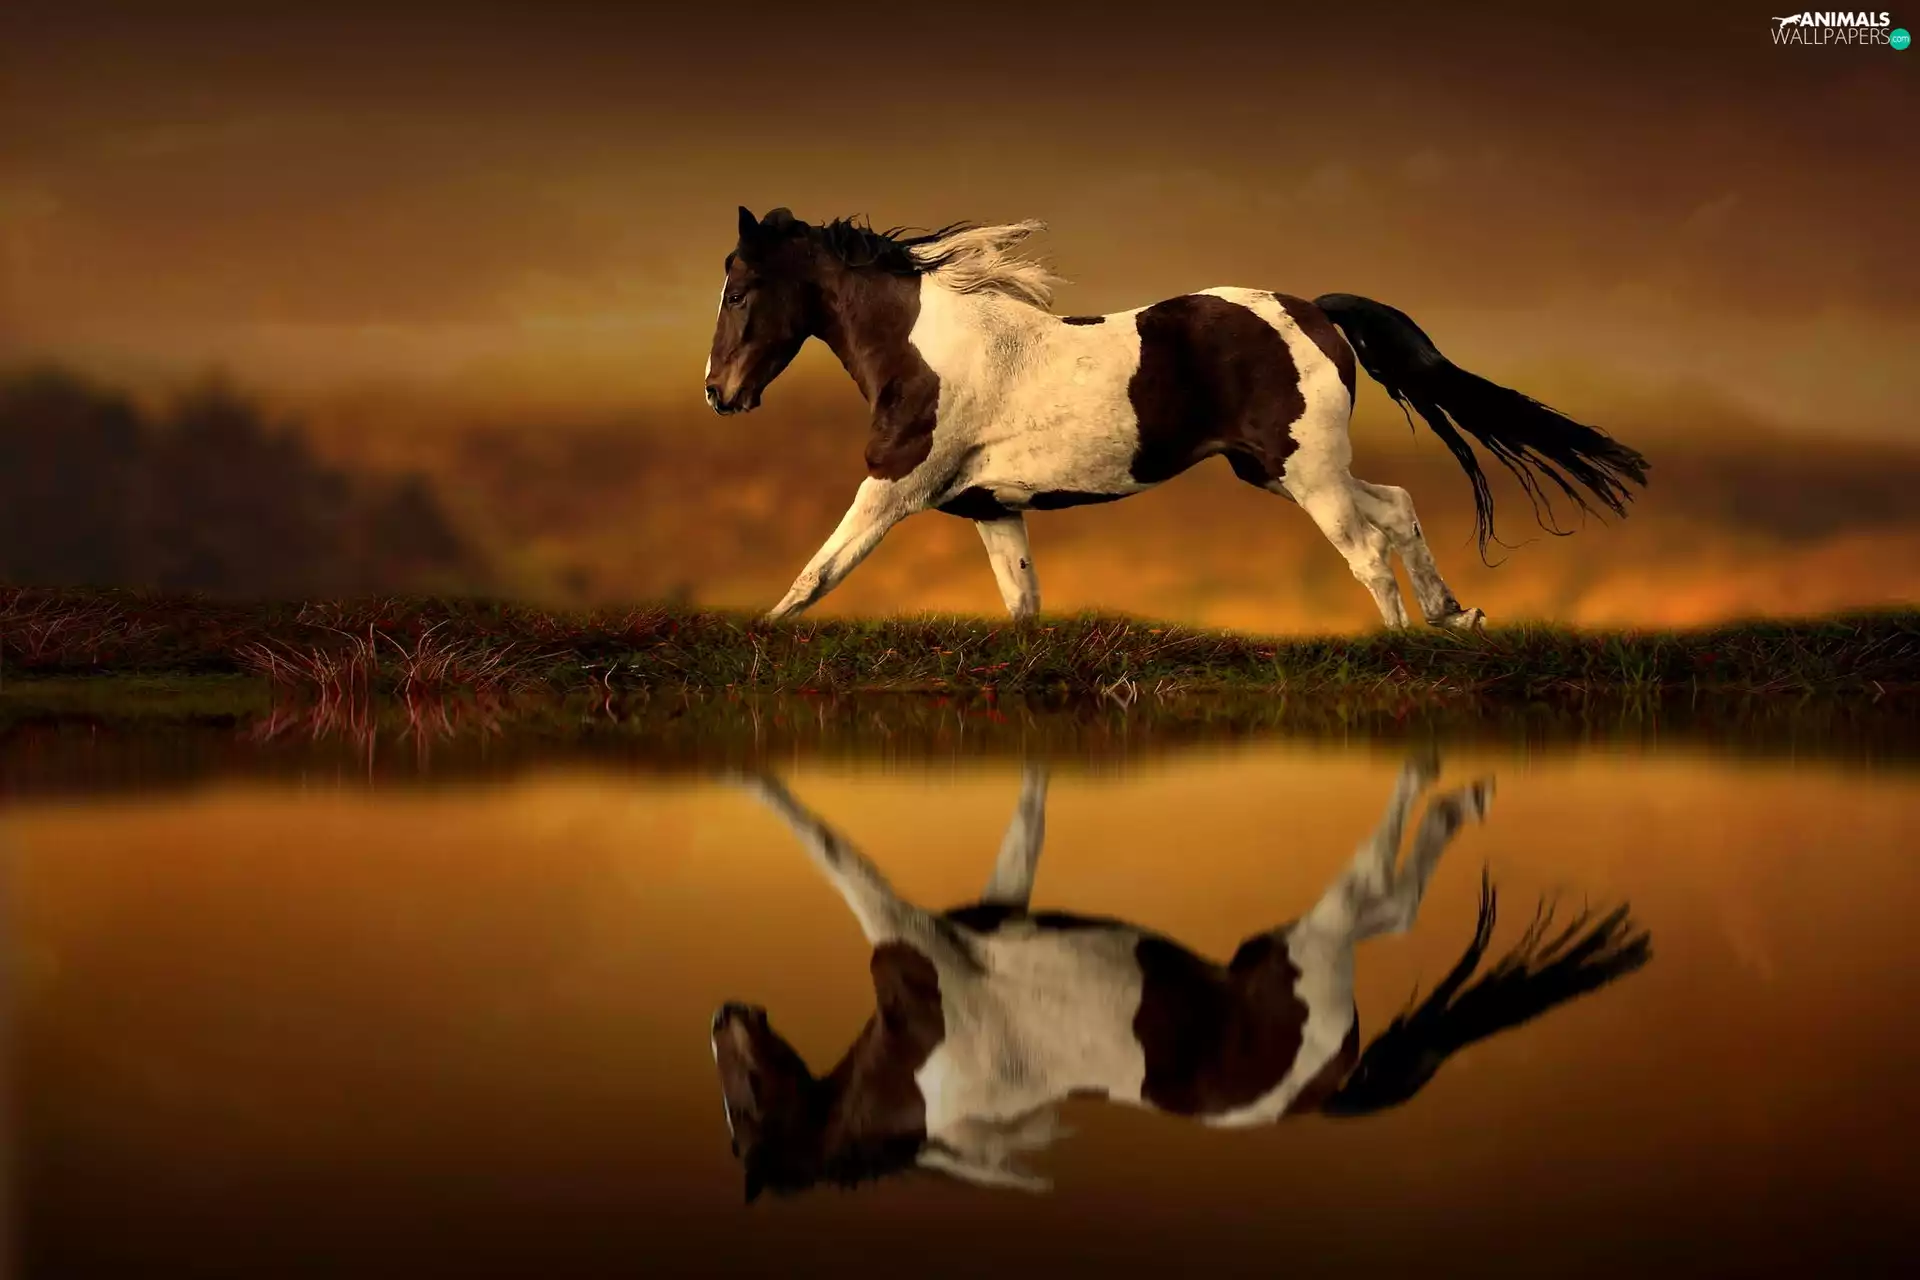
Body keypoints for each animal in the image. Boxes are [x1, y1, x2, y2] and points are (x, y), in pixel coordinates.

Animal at [702, 206, 1651, 628]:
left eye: (740, 291)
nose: (719, 392)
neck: (927, 348)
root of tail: (1314, 309)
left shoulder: (894, 487)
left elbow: (817, 575)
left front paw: (758, 644)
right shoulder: (992, 509)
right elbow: (1023, 604)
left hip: (1306, 474)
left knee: (1368, 550)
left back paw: (1404, 652)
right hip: (1278, 470)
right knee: (1399, 510)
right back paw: (1454, 616)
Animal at [709, 757, 1652, 1201]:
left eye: (745, 1119)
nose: (723, 1016)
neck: (923, 1071)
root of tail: (1320, 1089)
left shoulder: (912, 933)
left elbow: (830, 849)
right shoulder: (983, 915)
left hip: (1303, 947)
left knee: (1386, 898)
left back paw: (1467, 798)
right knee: (1390, 909)